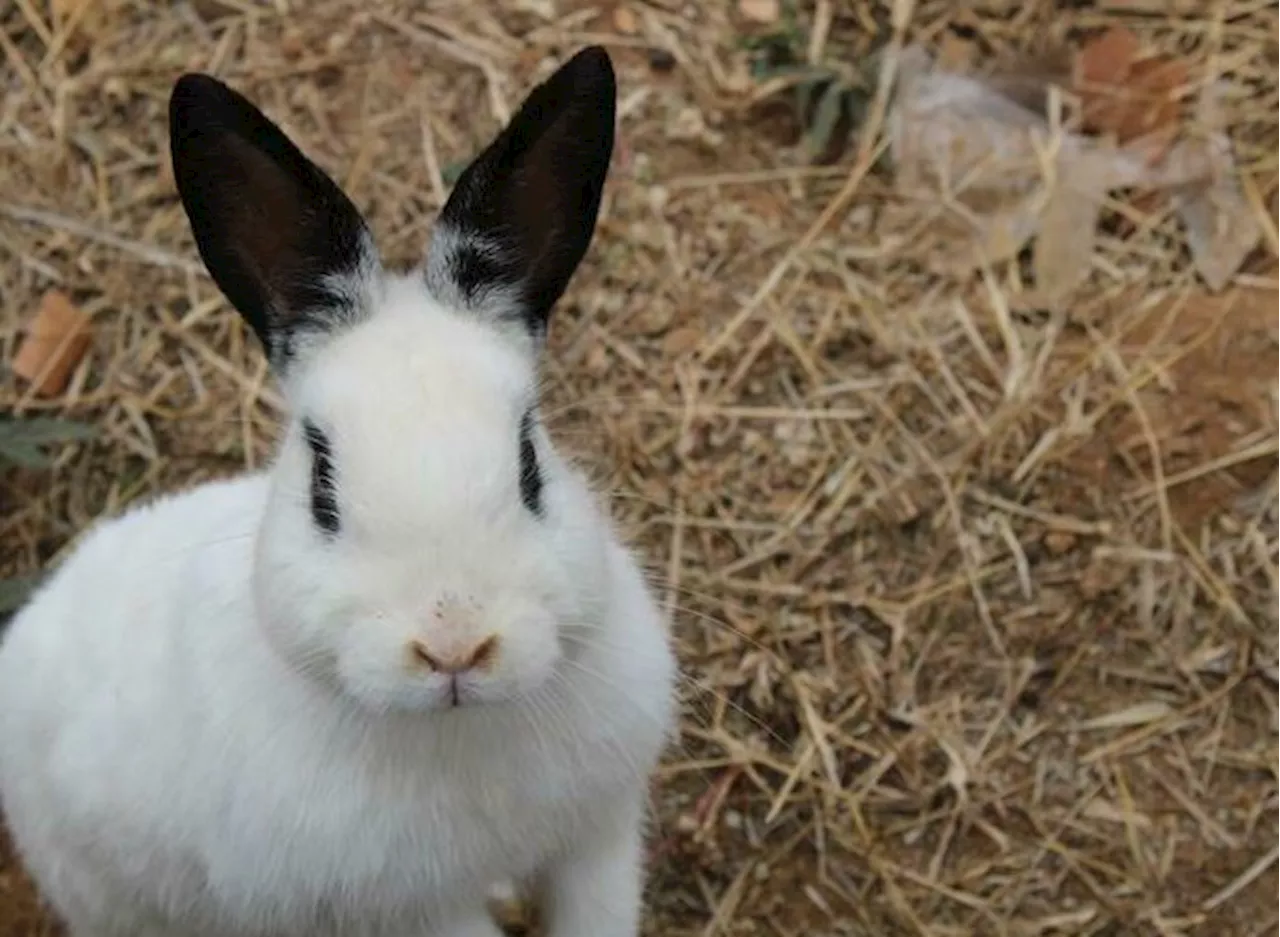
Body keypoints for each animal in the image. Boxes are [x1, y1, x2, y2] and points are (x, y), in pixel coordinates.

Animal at [0, 45, 680, 937]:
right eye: (321, 483)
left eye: (531, 460)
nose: (455, 646)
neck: (462, 731)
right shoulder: (410, 909)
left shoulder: (600, 833)